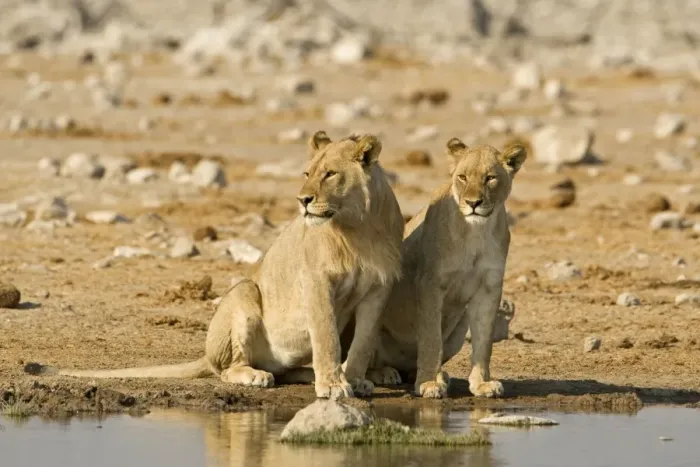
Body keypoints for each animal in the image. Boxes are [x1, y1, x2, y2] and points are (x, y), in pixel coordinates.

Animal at [25, 131, 405, 400]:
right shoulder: (316, 281)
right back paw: (255, 375)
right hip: (244, 293)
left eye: (330, 174)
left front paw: (354, 379)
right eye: (307, 172)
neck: (358, 227)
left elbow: (363, 340)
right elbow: (326, 336)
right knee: (228, 369)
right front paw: (334, 385)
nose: (303, 200)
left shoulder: (379, 287)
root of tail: (205, 356)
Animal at [366, 138, 527, 399]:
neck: (476, 232)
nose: (473, 203)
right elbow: (431, 338)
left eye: (490, 178)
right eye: (462, 177)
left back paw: (437, 374)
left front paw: (482, 383)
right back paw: (385, 373)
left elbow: (484, 341)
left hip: (458, 333)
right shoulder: (430, 284)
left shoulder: (490, 287)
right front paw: (429, 383)